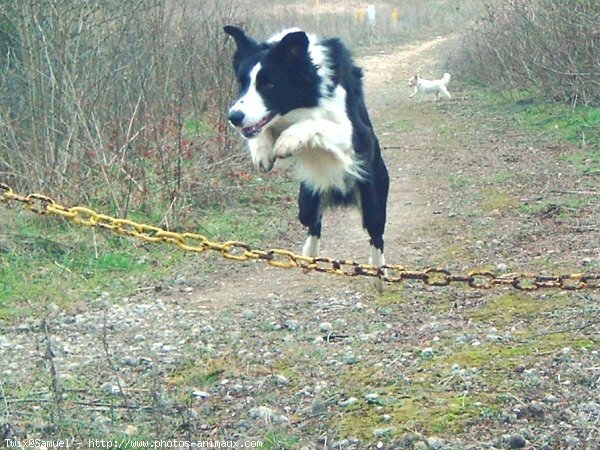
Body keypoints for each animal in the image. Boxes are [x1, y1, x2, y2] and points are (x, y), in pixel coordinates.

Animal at [224, 25, 390, 292]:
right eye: (243, 83)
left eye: (269, 84)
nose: (234, 117)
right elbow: (261, 130)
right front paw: (262, 151)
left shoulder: (357, 134)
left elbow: (315, 122)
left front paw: (287, 140)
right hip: (308, 198)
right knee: (314, 221)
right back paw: (308, 256)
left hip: (373, 198)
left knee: (376, 235)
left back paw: (379, 274)